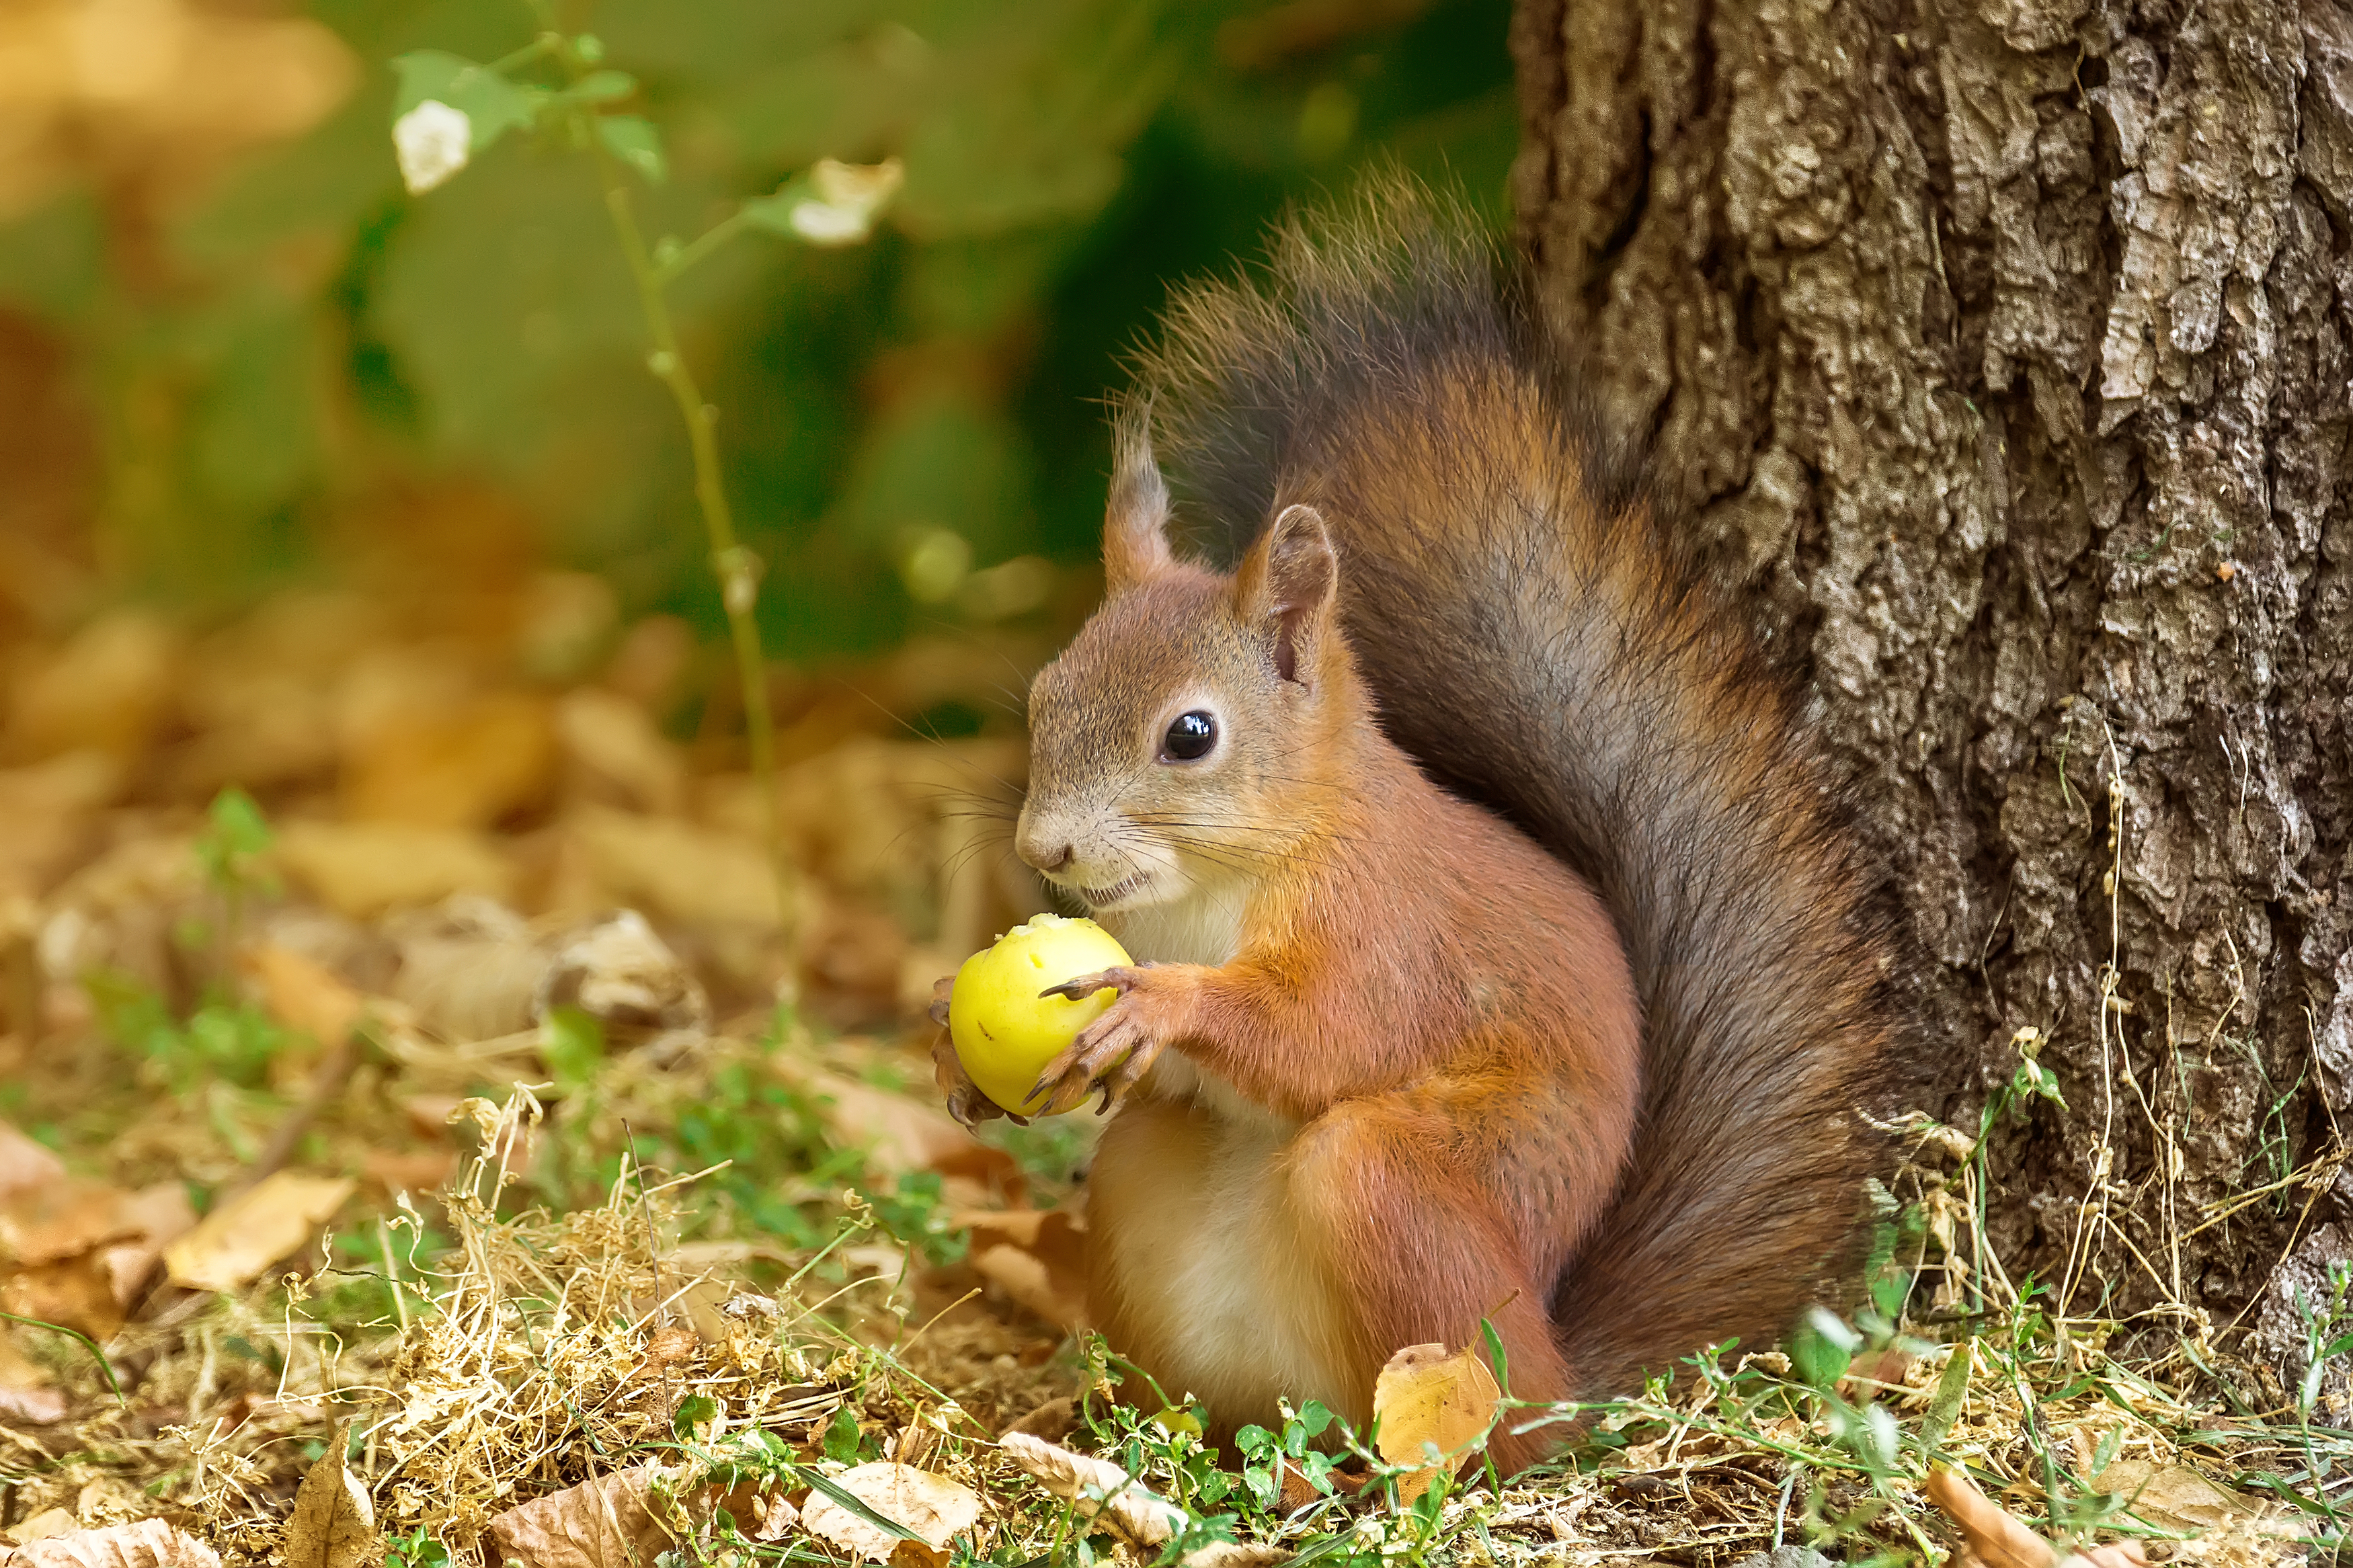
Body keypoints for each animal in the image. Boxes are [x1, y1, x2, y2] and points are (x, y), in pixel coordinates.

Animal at [927, 175, 1901, 1476]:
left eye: (1191, 734)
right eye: (1044, 696)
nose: (1046, 852)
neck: (1220, 881)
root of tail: (1566, 1383)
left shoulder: (1383, 921)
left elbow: (1328, 1032)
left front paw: (1167, 1005)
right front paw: (953, 1043)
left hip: (1396, 1195)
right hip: (1153, 1196)